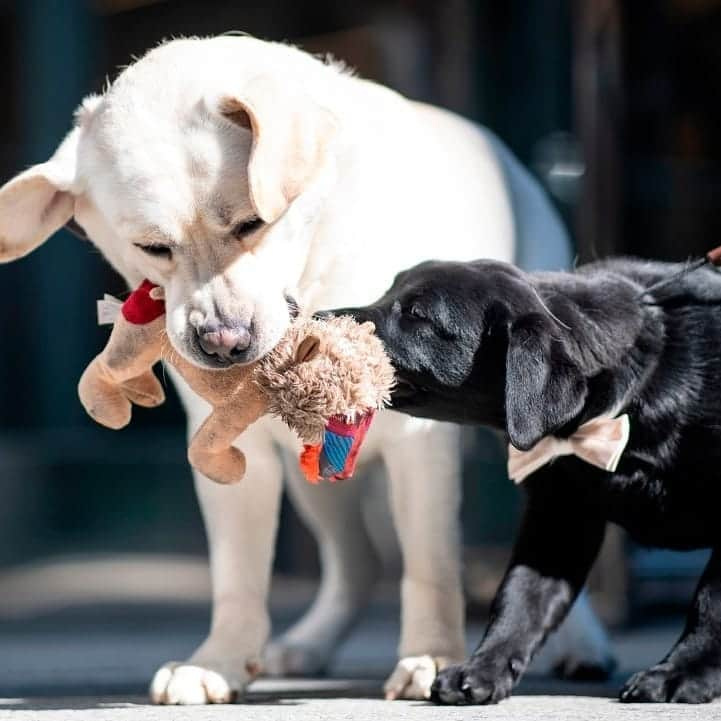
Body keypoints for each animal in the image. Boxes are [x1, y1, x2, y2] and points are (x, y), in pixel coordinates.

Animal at [332, 258, 721, 704]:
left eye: (417, 314)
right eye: (387, 292)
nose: (315, 316)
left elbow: (710, 601)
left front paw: (681, 673)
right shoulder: (557, 515)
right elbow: (520, 597)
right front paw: (483, 668)